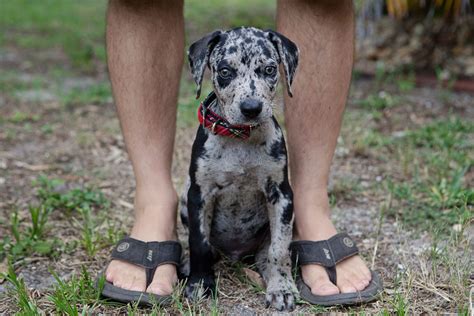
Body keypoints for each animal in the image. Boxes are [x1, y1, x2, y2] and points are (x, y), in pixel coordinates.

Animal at [181, 26, 300, 312]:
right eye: (225, 71)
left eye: (269, 69)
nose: (251, 108)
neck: (240, 140)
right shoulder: (199, 194)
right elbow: (198, 242)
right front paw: (200, 284)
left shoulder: (282, 194)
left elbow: (280, 248)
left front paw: (282, 287)